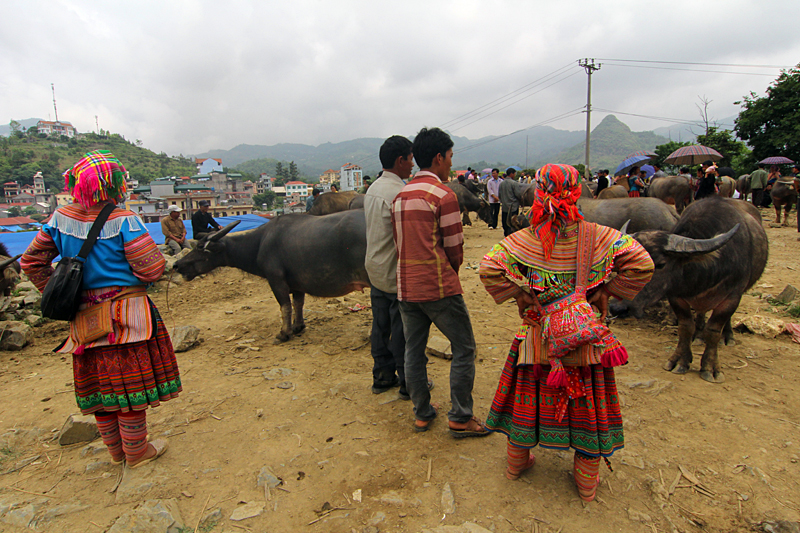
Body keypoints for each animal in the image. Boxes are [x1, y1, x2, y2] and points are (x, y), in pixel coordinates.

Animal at [175, 209, 368, 338]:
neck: (260, 243)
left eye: (200, 247)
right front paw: (298, 327)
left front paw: (284, 333)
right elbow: (298, 304)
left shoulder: (276, 280)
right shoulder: (298, 284)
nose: (178, 265)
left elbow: (285, 306)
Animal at [612, 195, 768, 382]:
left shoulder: (732, 296)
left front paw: (710, 367)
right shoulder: (676, 296)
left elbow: (714, 330)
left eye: (661, 264)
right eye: (622, 264)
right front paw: (680, 360)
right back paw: (698, 336)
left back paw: (728, 336)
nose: (618, 308)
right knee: (701, 314)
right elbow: (685, 327)